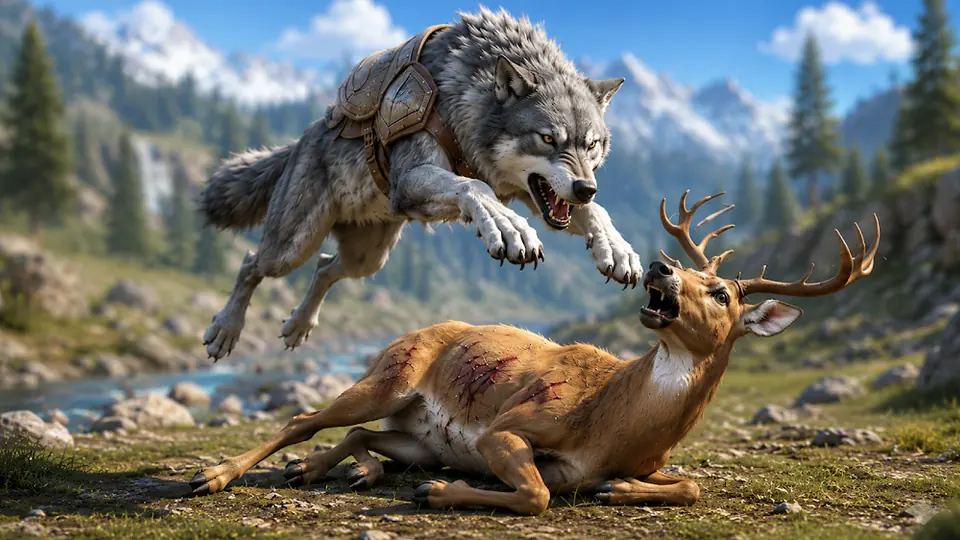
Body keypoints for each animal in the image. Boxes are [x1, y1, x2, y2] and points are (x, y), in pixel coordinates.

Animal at [197, 7, 643, 361]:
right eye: (548, 139)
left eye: (592, 145)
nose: (585, 187)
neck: (464, 94)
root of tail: (303, 138)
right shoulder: (414, 180)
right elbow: (475, 189)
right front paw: (509, 229)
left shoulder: (527, 193)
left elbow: (597, 213)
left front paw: (617, 249)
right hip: (292, 247)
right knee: (251, 263)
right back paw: (225, 331)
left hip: (368, 259)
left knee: (324, 267)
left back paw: (298, 326)